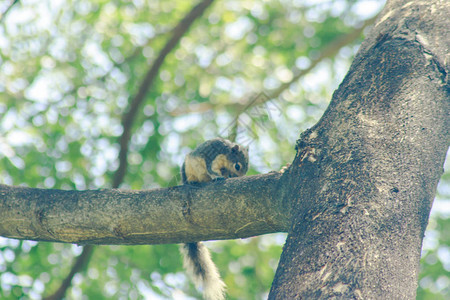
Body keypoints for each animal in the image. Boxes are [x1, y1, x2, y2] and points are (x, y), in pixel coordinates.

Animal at [180, 138, 250, 300]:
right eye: (238, 166)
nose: (235, 177)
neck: (227, 153)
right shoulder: (213, 157)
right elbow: (212, 170)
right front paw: (218, 176)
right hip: (188, 167)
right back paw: (191, 182)